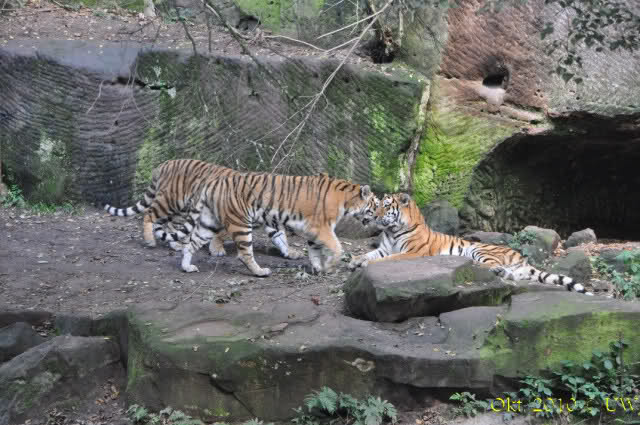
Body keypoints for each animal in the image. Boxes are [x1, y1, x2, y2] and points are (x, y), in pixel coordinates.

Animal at [103, 159, 303, 260]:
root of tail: (163, 164)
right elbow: (220, 233)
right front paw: (216, 249)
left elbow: (280, 237)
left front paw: (290, 252)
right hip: (169, 201)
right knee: (149, 214)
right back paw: (150, 240)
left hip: (180, 209)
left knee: (167, 225)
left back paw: (176, 244)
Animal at [154, 171, 377, 276]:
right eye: (375, 205)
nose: (378, 218)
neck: (347, 201)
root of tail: (214, 181)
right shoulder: (321, 228)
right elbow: (337, 247)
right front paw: (330, 265)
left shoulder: (312, 231)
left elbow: (314, 251)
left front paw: (319, 269)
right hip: (241, 223)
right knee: (244, 254)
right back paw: (260, 272)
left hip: (209, 222)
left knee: (190, 243)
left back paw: (187, 267)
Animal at [349, 193, 593, 295]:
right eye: (377, 205)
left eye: (386, 206)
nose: (374, 217)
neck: (391, 231)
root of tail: (521, 257)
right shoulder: (383, 249)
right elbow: (368, 255)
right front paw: (354, 261)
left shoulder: (411, 253)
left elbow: (390, 259)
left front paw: (364, 265)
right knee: (508, 274)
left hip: (478, 249)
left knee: (492, 265)